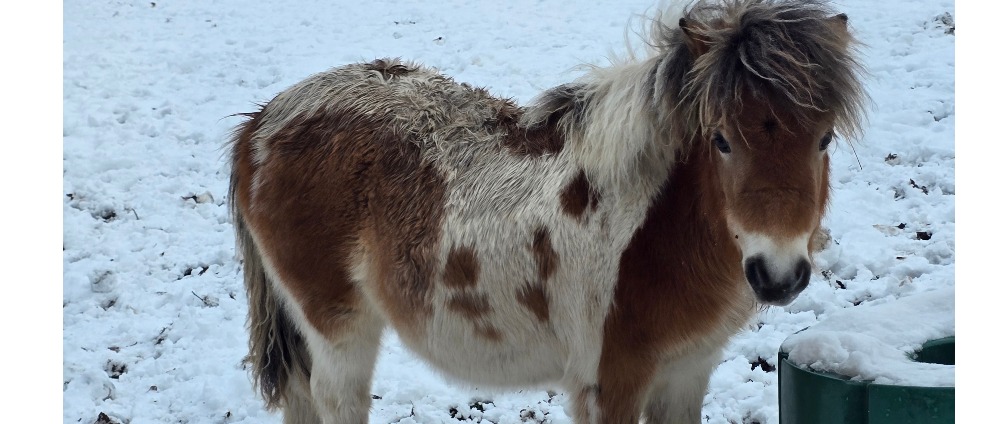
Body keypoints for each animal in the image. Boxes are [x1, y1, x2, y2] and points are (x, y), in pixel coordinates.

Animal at [227, 0, 865, 422]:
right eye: (721, 139)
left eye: (824, 138)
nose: (777, 275)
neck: (653, 230)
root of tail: (263, 120)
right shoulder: (610, 383)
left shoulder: (687, 374)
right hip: (339, 329)